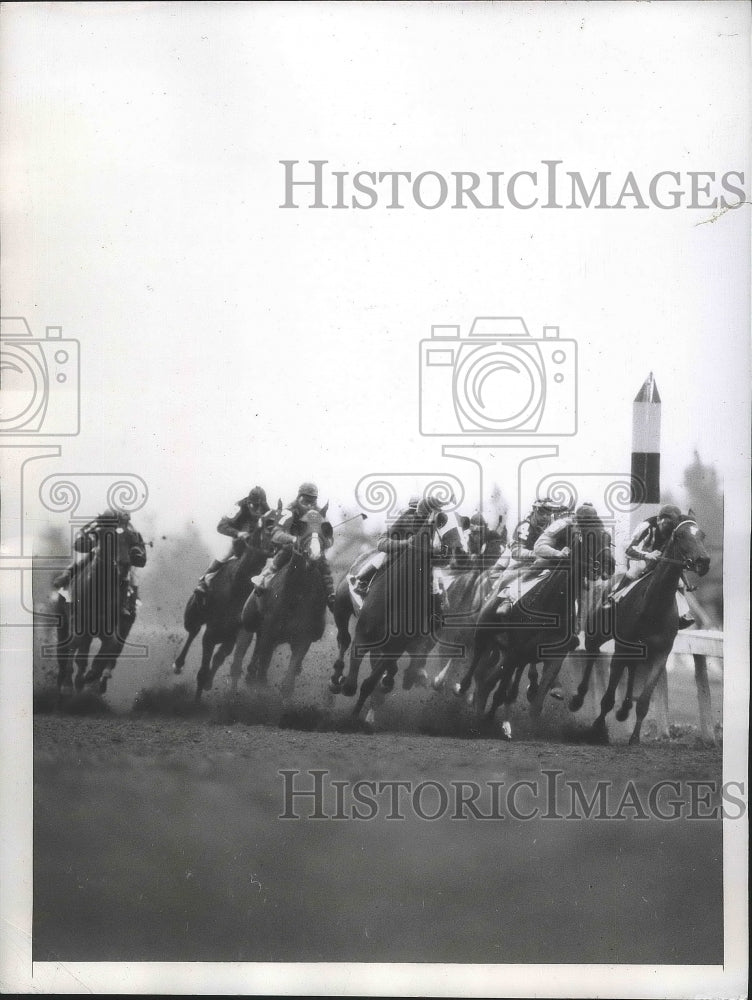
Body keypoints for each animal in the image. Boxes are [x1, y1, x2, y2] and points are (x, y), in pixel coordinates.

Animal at [572, 516, 708, 744]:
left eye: (702, 535)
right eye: (680, 535)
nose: (703, 562)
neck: (653, 608)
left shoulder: (660, 654)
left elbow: (644, 701)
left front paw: (634, 737)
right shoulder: (620, 648)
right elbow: (608, 697)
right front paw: (598, 728)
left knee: (632, 667)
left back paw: (624, 709)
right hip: (597, 633)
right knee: (592, 652)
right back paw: (579, 698)